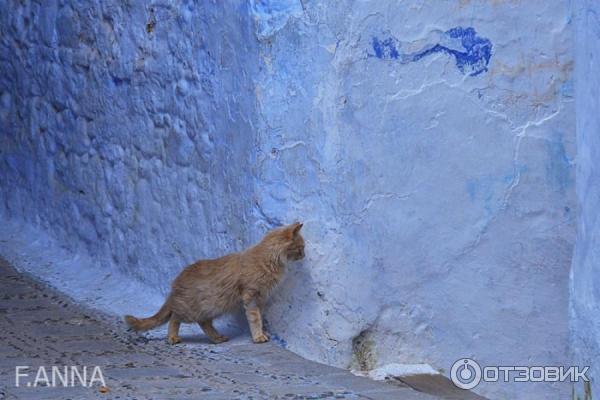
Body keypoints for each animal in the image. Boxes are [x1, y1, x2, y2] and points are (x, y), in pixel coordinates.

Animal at [125, 222, 304, 344]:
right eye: (301, 247)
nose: (304, 255)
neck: (269, 260)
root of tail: (175, 284)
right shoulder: (250, 295)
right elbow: (255, 318)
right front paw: (258, 336)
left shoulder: (260, 298)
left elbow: (260, 316)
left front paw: (263, 333)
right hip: (192, 309)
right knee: (175, 318)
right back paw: (173, 337)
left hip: (211, 306)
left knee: (204, 323)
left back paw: (217, 337)